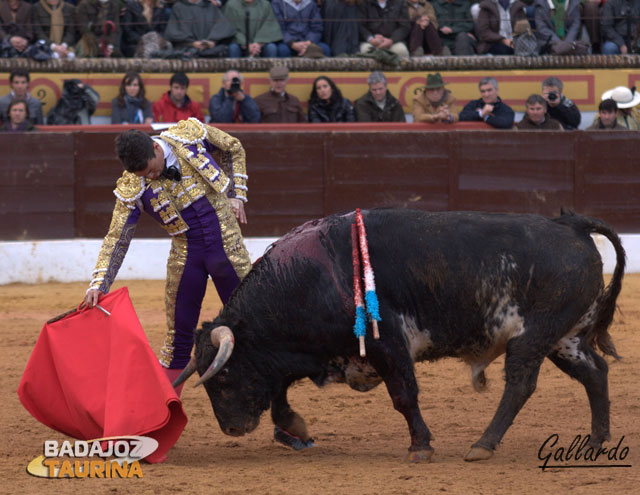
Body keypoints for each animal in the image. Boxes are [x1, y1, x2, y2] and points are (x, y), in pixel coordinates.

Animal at [172, 208, 624, 462]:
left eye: (222, 377)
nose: (232, 429)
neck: (313, 277)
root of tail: (572, 226)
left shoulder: (386, 345)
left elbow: (404, 396)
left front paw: (420, 446)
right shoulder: (302, 354)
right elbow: (279, 389)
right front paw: (296, 428)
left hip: (533, 335)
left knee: (520, 384)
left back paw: (483, 445)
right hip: (565, 338)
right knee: (595, 372)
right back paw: (596, 441)